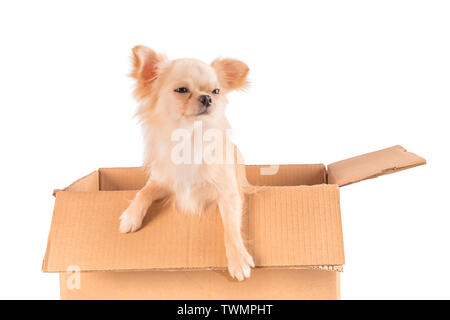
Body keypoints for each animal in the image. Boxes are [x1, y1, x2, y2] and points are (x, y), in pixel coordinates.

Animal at [118, 45, 255, 280]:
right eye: (182, 90)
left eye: (216, 91)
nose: (207, 98)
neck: (189, 136)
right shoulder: (163, 183)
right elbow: (143, 192)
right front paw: (130, 216)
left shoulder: (227, 193)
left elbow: (230, 225)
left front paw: (238, 259)